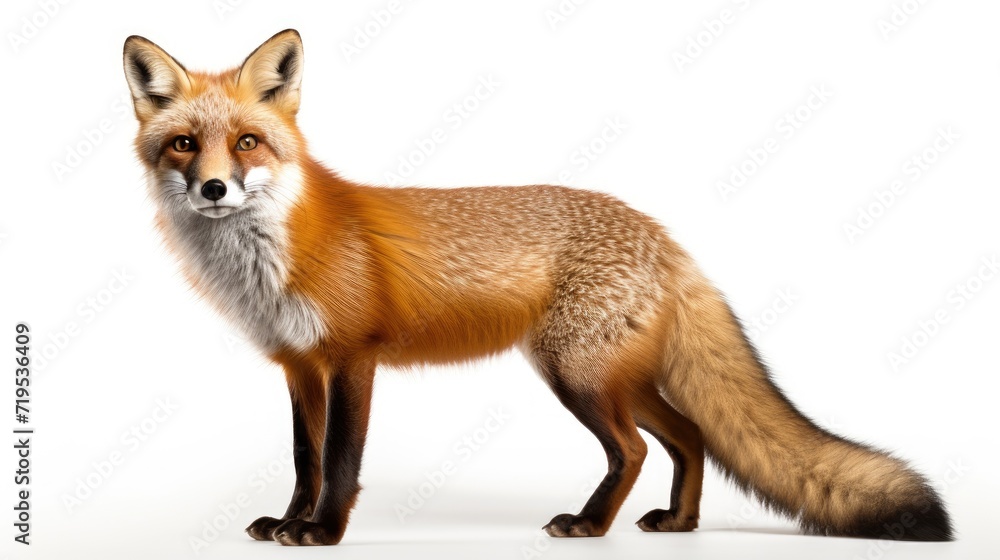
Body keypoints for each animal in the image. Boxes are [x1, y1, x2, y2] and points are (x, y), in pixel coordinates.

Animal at [123, 29, 953, 546]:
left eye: (248, 142)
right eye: (185, 144)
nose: (215, 189)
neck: (275, 253)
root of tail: (661, 234)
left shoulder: (353, 357)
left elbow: (343, 462)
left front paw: (323, 532)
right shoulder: (299, 364)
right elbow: (305, 459)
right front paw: (287, 522)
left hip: (577, 376)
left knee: (634, 450)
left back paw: (590, 526)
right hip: (612, 375)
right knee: (691, 436)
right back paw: (677, 524)